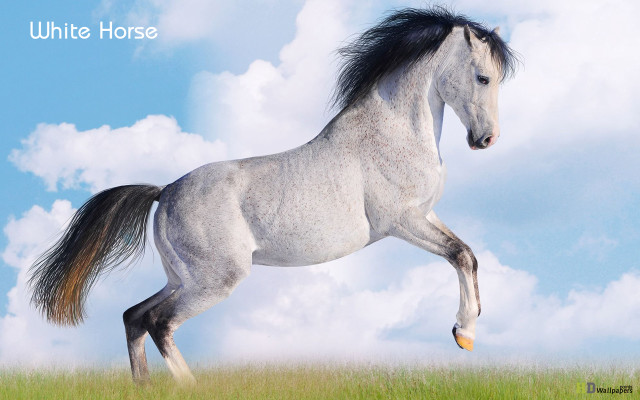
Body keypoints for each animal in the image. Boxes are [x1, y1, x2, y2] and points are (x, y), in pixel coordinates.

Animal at [28, 7, 518, 384]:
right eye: (482, 77)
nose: (486, 140)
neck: (393, 132)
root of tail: (164, 191)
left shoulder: (425, 216)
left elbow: (468, 255)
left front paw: (466, 334)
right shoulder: (401, 221)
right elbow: (459, 255)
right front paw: (464, 332)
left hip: (183, 277)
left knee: (134, 316)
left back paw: (144, 387)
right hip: (215, 280)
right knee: (158, 323)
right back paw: (189, 387)